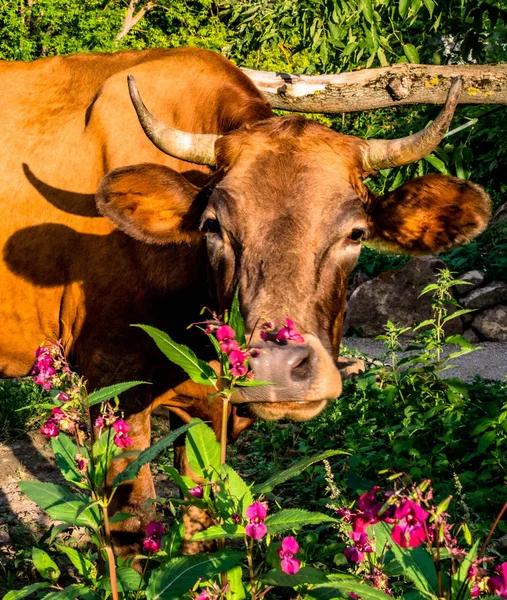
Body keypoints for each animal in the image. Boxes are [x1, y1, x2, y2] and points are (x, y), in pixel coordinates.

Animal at [0, 44, 492, 556]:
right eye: (213, 226)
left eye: (356, 233)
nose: (277, 367)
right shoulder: (111, 385)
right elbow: (133, 530)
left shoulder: (209, 417)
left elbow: (201, 527)